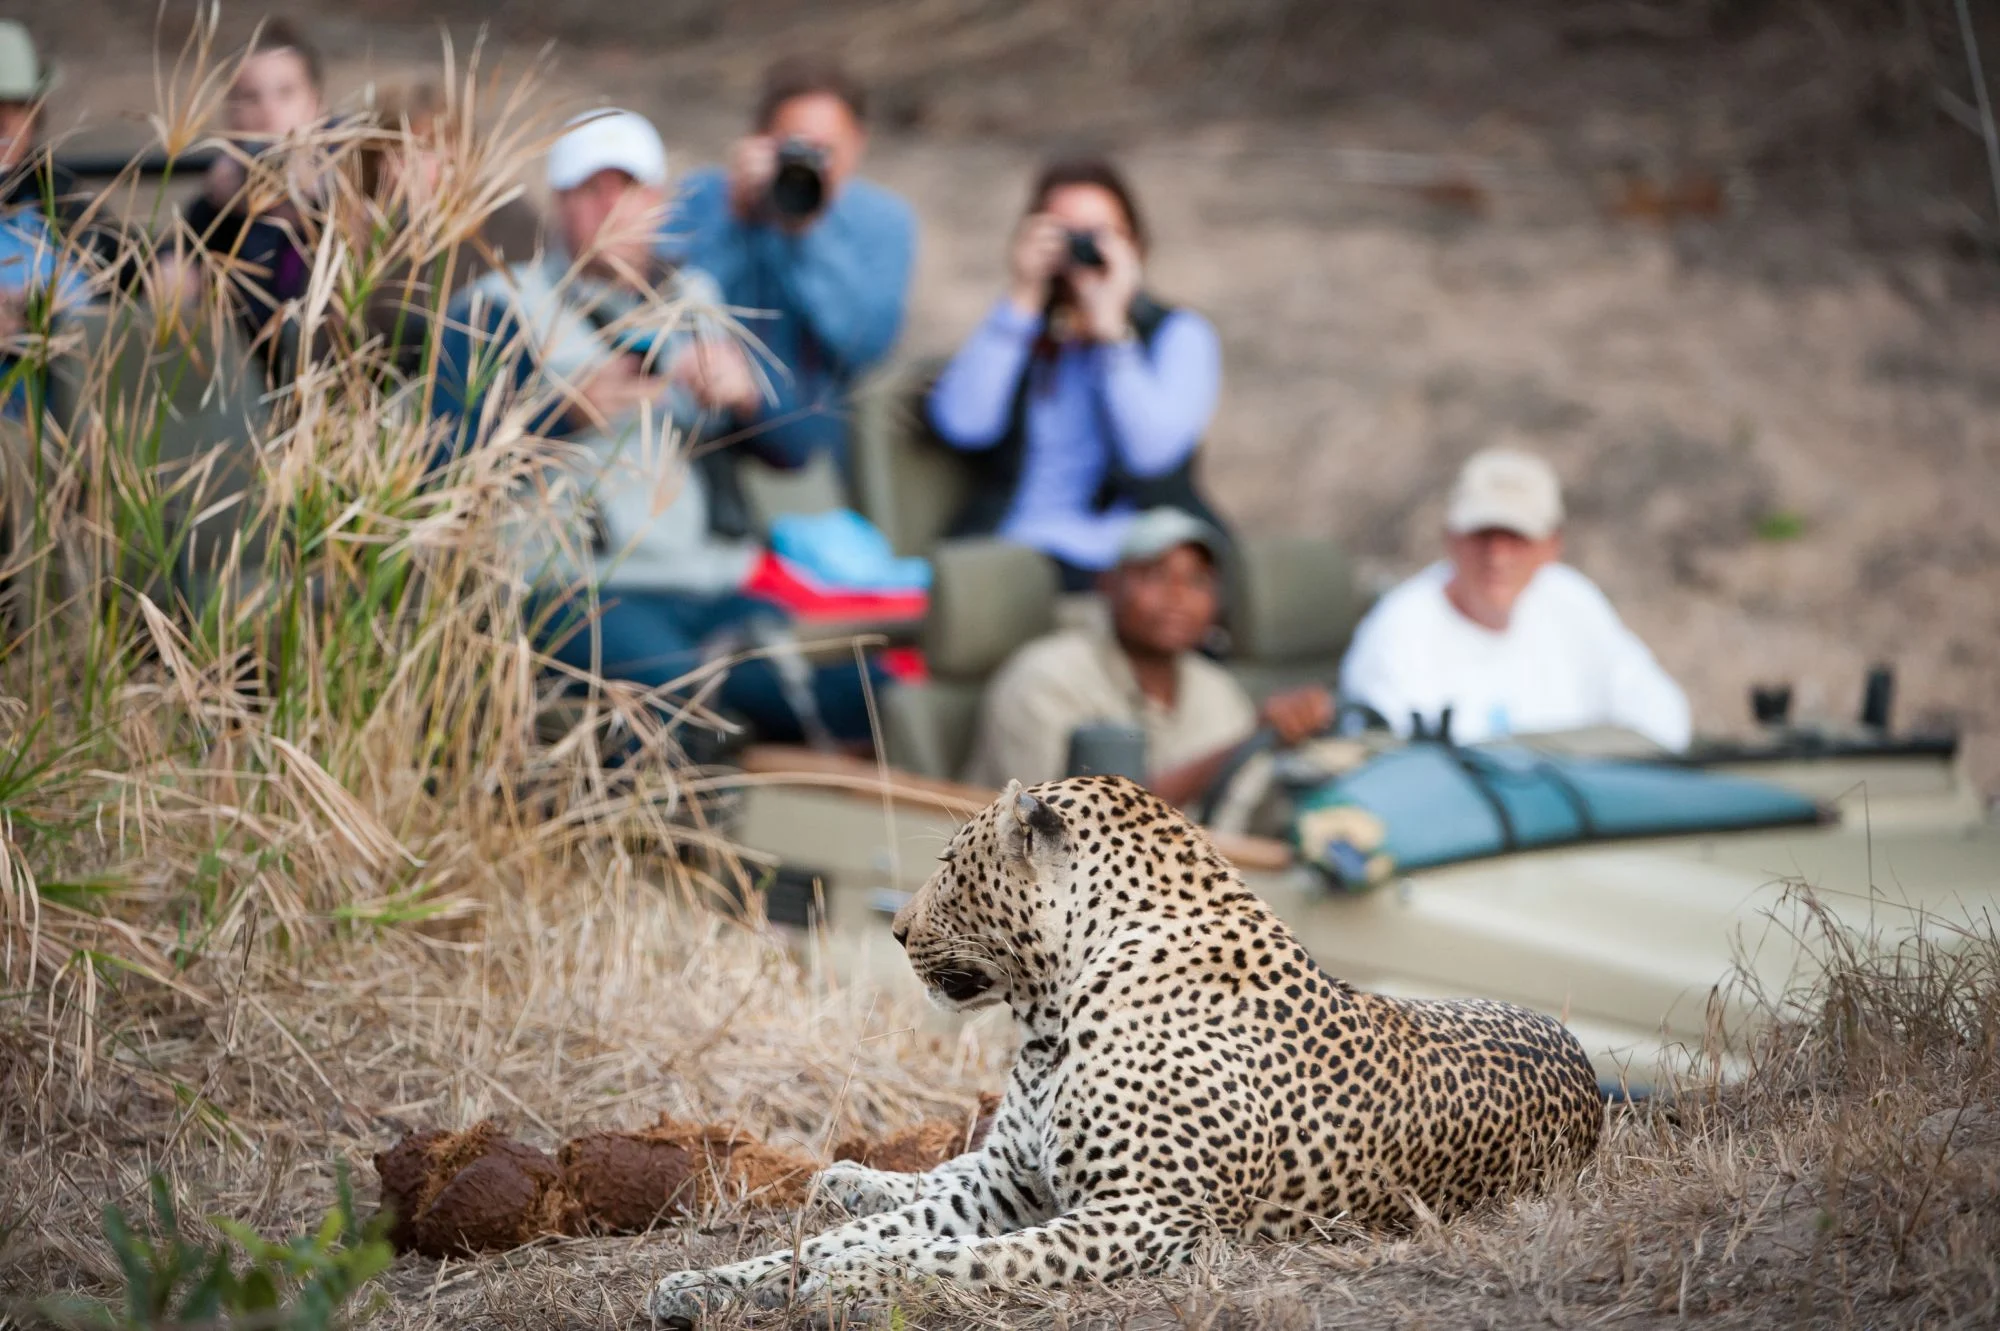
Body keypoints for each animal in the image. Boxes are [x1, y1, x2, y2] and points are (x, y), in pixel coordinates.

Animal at [649, 774, 1602, 1324]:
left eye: (953, 866)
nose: (896, 928)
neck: (1050, 1015)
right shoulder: (1008, 1183)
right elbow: (846, 1237)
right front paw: (704, 1284)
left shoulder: (1148, 1211)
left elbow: (958, 1253)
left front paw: (854, 1283)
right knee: (929, 1171)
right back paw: (847, 1177)